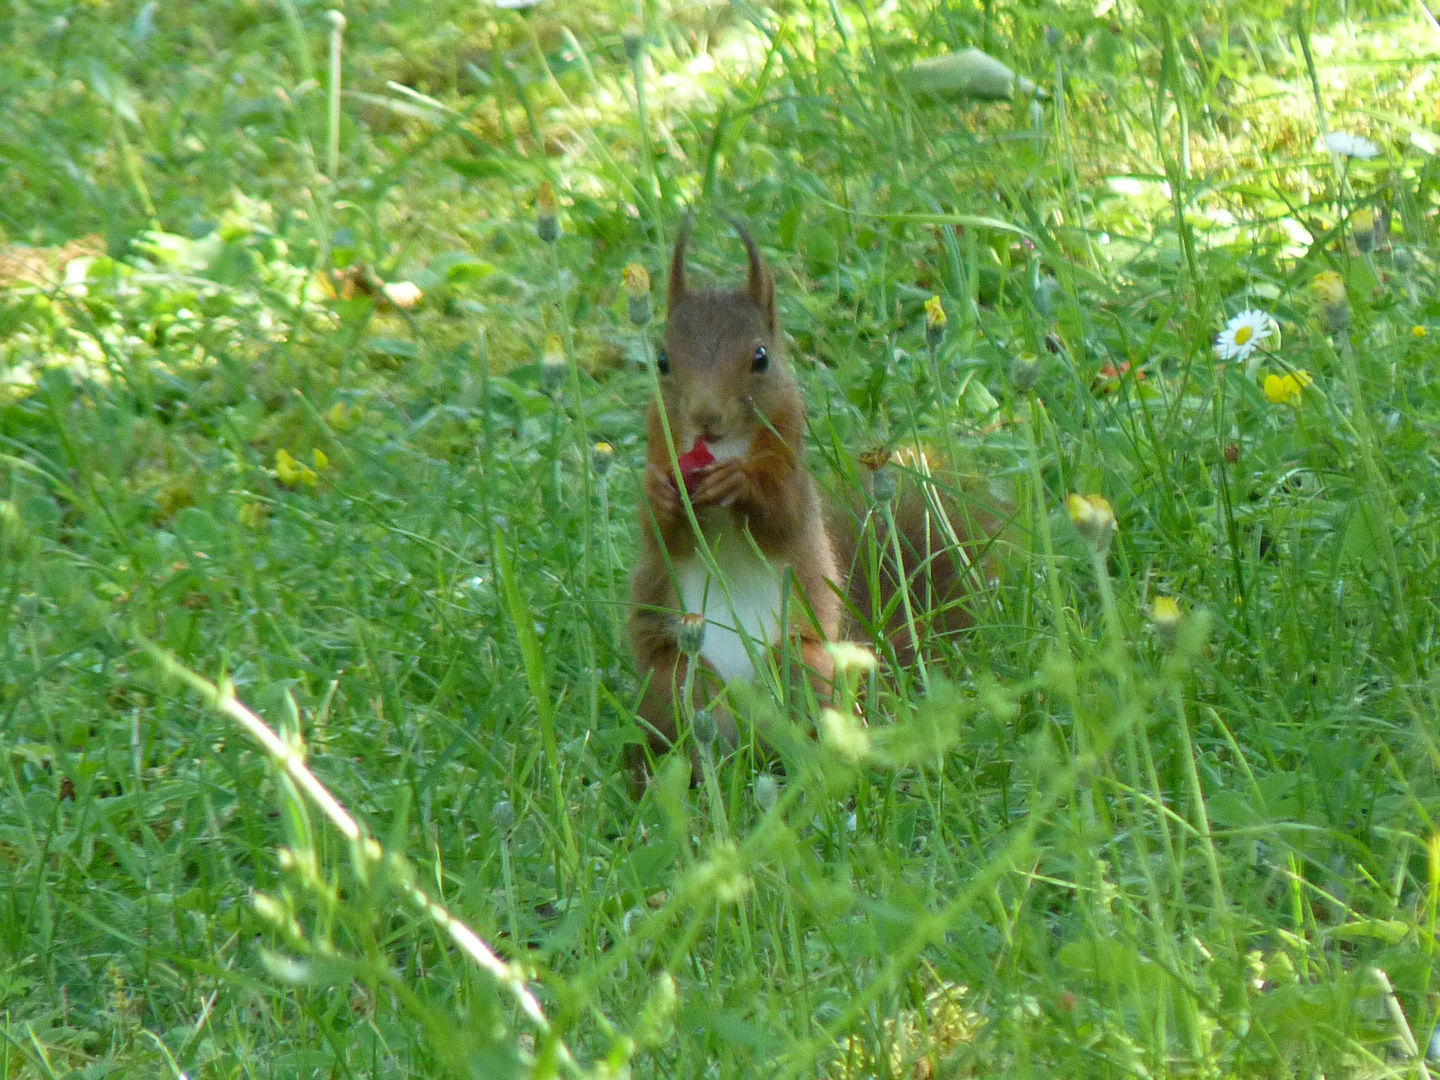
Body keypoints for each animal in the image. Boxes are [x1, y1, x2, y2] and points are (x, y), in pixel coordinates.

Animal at [624, 220, 840, 760]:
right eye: (662, 360)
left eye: (760, 358)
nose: (706, 418)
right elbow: (659, 531)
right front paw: (661, 494)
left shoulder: (793, 469)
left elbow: (783, 516)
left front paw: (738, 482)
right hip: (674, 675)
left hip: (803, 666)